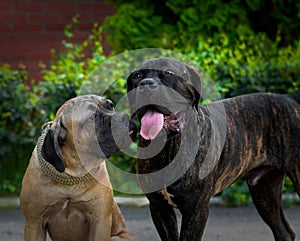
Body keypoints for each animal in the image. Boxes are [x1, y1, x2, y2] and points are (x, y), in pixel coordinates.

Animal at [19, 95, 134, 240]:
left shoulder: (100, 222)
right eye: (93, 117)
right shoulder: (34, 223)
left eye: (111, 105)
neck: (72, 174)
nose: (125, 116)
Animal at [126, 58, 300, 241]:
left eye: (169, 73)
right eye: (137, 76)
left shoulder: (196, 210)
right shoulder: (159, 207)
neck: (168, 147)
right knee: (284, 231)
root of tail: (288, 98)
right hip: (264, 189)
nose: (146, 84)